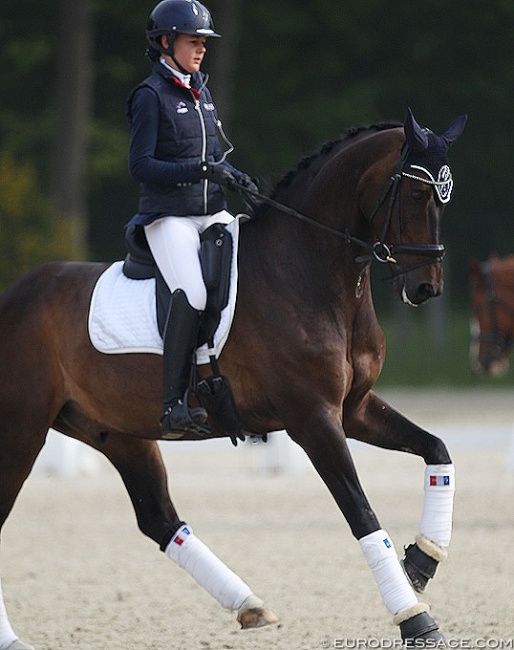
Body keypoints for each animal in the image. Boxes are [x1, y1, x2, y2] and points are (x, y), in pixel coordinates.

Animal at [0, 109, 464, 644]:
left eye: (446, 196)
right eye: (416, 194)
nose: (427, 287)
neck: (307, 271)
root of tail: (12, 296)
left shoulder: (354, 409)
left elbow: (437, 450)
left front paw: (423, 561)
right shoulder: (312, 419)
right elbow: (362, 513)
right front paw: (414, 617)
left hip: (117, 432)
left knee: (159, 518)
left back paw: (250, 605)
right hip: (22, 429)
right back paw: (12, 639)